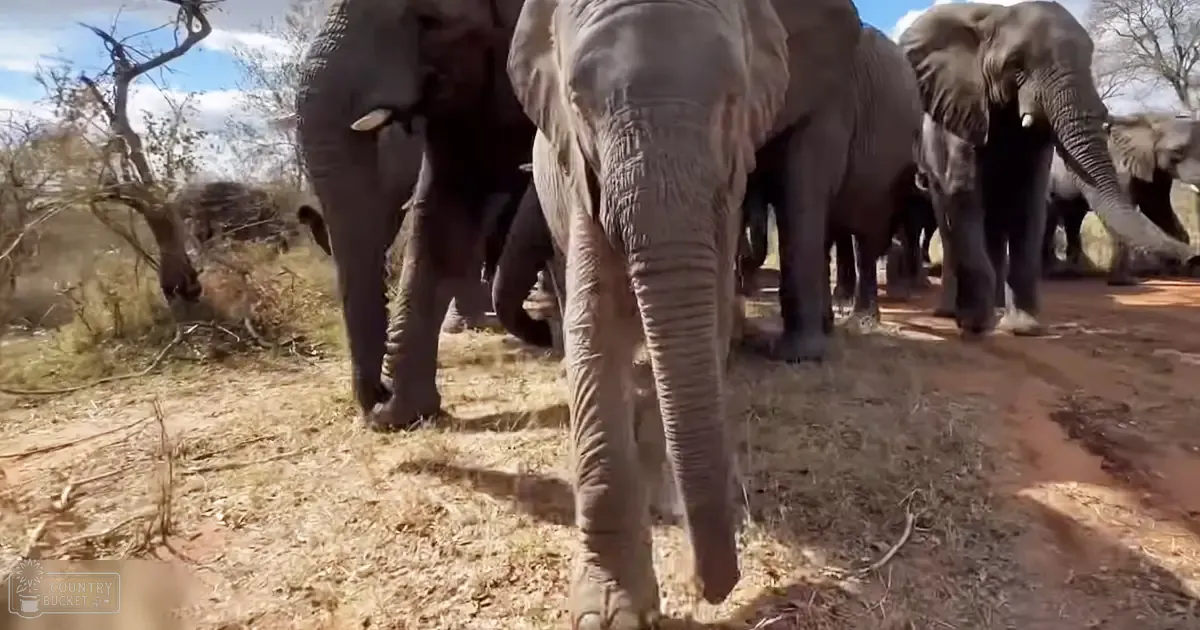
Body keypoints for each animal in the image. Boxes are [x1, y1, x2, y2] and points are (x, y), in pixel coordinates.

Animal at [507, 0, 813, 624]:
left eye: (733, 96)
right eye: (578, 101)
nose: (704, 588)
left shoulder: (728, 178)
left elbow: (709, 318)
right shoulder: (583, 175)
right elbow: (593, 330)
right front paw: (611, 612)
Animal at [1043, 113, 1200, 284]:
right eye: (1177, 151)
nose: (1194, 257)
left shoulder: (1155, 171)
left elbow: (1157, 209)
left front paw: (1179, 272)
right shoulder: (1119, 168)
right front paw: (1123, 283)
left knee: (1073, 218)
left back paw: (1074, 273)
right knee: (1051, 218)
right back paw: (1054, 274)